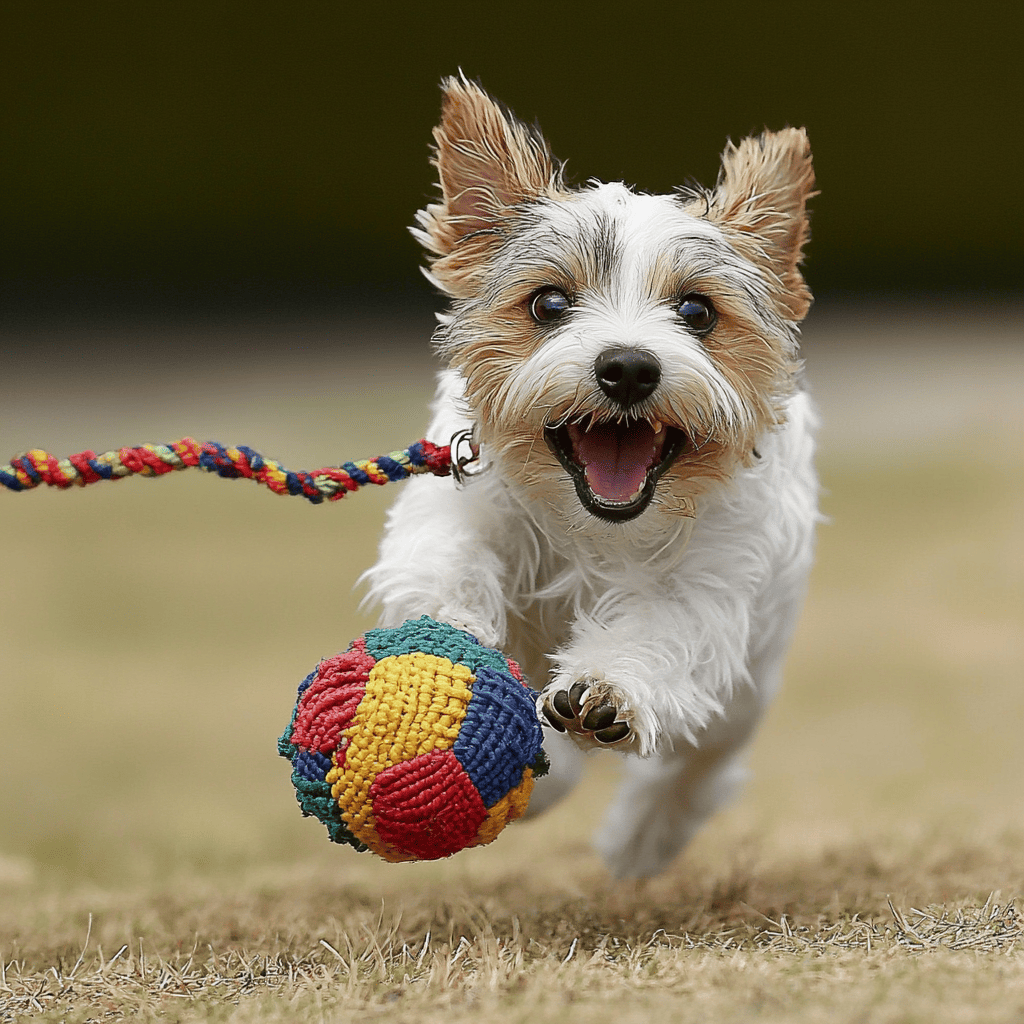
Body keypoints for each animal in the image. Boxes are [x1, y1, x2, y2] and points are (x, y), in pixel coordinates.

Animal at [364, 75, 819, 876]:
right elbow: (447, 557)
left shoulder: (706, 583)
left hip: (752, 681)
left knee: (702, 764)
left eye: (697, 310)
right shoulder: (460, 501)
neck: (593, 529)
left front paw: (603, 694)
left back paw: (640, 838)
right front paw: (451, 631)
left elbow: (657, 635)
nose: (629, 366)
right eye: (549, 302)